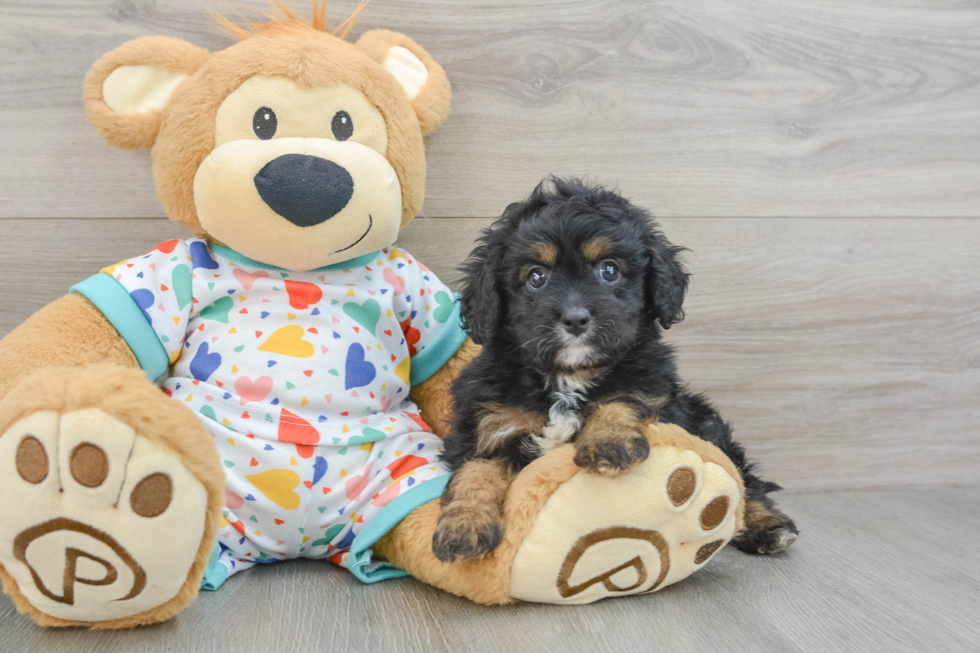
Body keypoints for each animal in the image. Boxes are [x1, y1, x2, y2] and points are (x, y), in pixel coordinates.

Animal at [432, 177, 800, 560]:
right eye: (536, 277)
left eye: (609, 270)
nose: (575, 318)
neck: (570, 376)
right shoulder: (487, 422)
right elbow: (475, 472)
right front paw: (463, 526)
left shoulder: (652, 381)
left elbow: (623, 396)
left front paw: (607, 442)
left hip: (706, 422)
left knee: (742, 477)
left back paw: (768, 525)